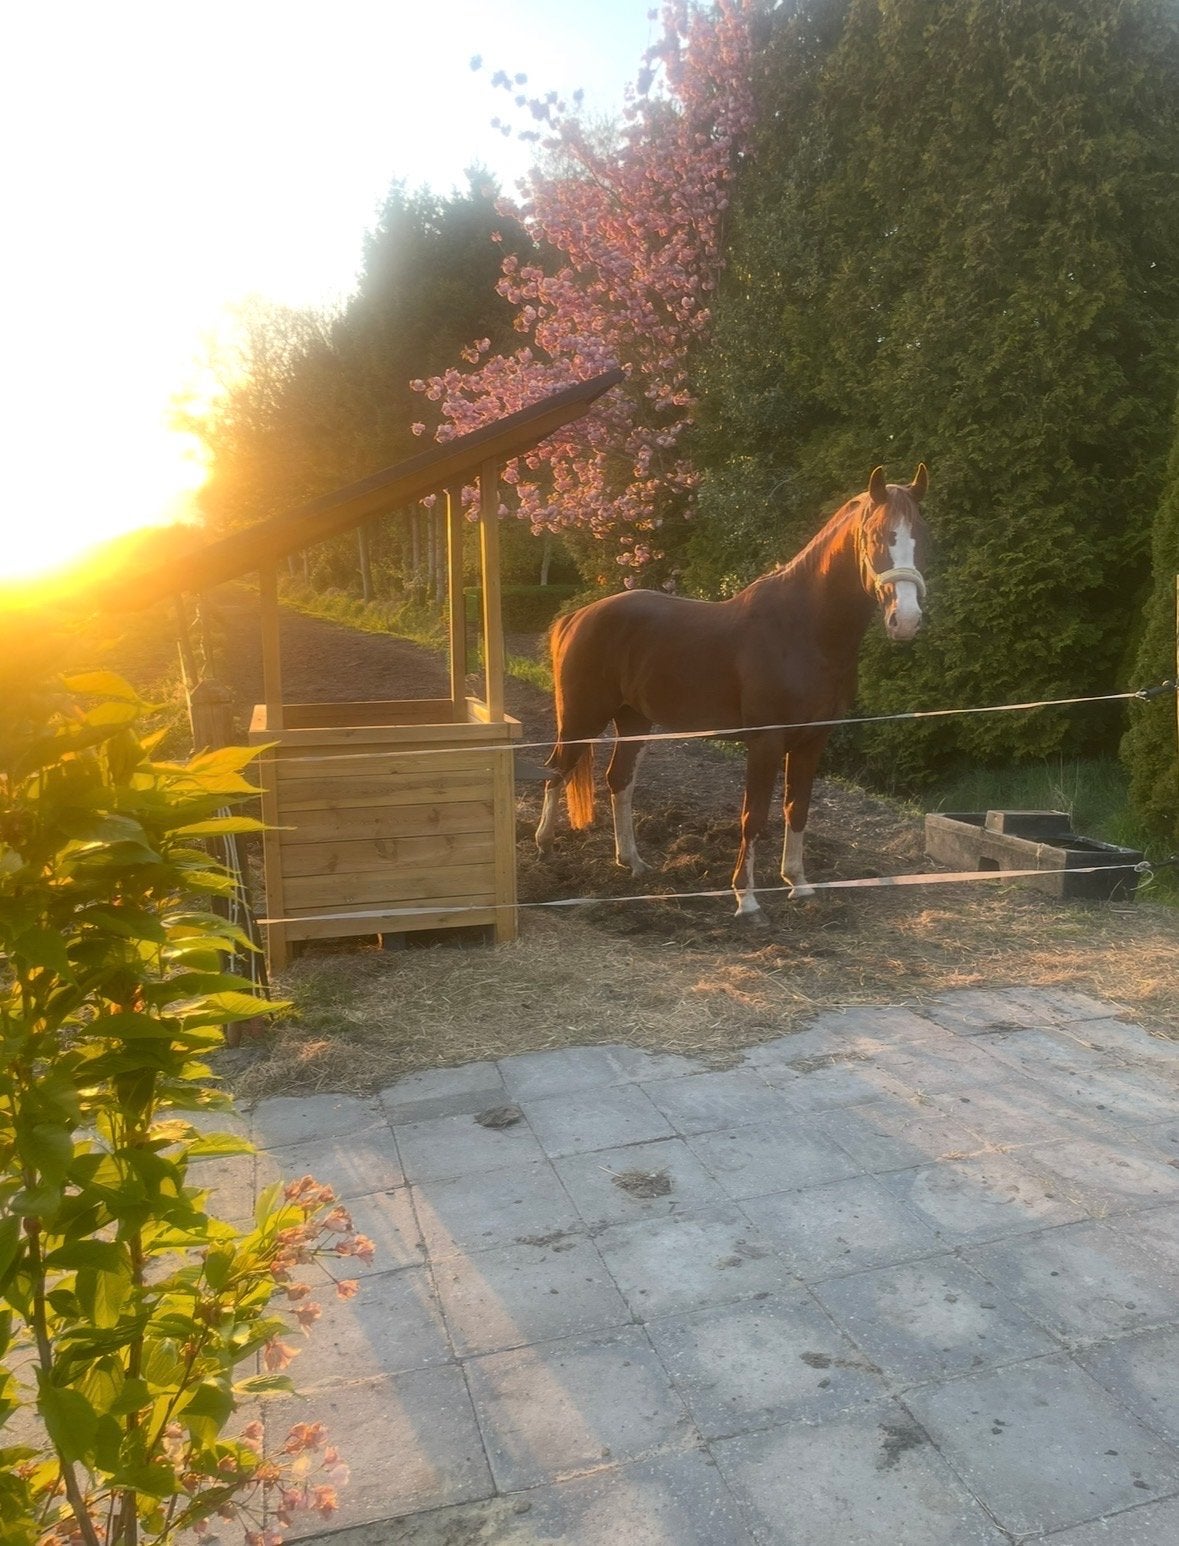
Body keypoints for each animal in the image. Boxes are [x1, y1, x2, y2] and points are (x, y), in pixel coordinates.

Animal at [534, 465, 930, 917]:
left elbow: (797, 808)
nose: (906, 620)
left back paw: (632, 861)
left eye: (922, 535)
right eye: (877, 537)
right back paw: (544, 847)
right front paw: (746, 897)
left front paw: (798, 883)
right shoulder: (765, 741)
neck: (803, 631)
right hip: (581, 718)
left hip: (633, 720)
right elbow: (753, 815)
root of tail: (578, 616)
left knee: (619, 780)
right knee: (555, 771)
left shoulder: (812, 740)